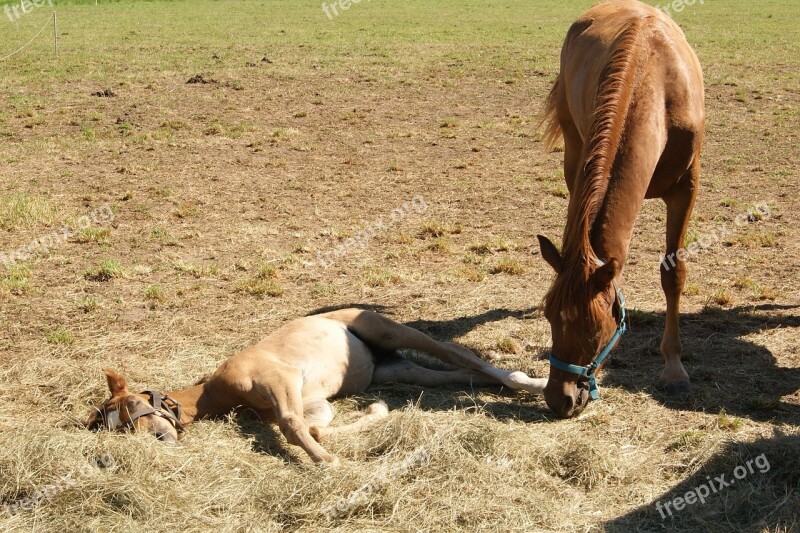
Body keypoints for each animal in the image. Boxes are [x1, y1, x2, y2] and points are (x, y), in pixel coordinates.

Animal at [87, 308, 552, 462]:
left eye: (132, 408)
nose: (156, 443)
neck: (219, 388)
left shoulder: (280, 380)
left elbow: (294, 426)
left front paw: (328, 463)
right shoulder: (311, 401)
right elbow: (314, 424)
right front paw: (375, 411)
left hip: (389, 330)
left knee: (462, 355)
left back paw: (539, 383)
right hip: (395, 369)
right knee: (465, 373)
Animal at [536, 0, 704, 416]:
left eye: (595, 328)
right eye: (548, 316)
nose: (559, 398)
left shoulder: (686, 189)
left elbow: (673, 273)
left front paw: (673, 369)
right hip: (574, 150)